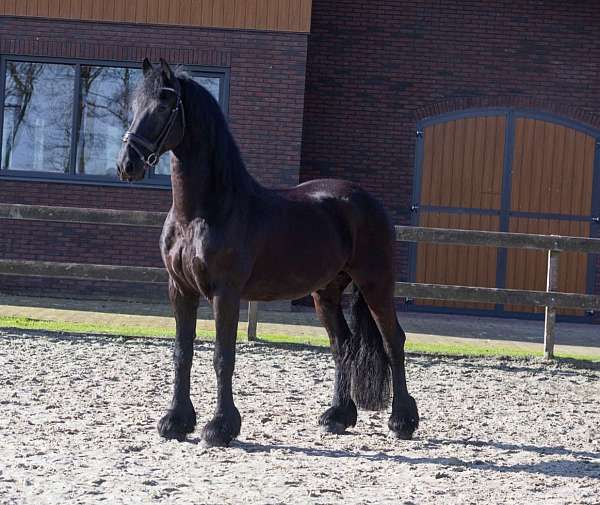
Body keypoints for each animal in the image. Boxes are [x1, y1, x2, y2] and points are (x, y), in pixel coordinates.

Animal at [116, 58, 418, 444]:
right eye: (136, 105)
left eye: (165, 105)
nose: (127, 164)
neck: (202, 212)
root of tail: (367, 201)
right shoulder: (180, 289)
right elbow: (182, 353)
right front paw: (176, 421)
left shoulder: (225, 293)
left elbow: (223, 356)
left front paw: (220, 427)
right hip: (326, 292)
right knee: (344, 345)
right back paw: (337, 416)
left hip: (375, 282)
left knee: (393, 340)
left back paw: (402, 421)